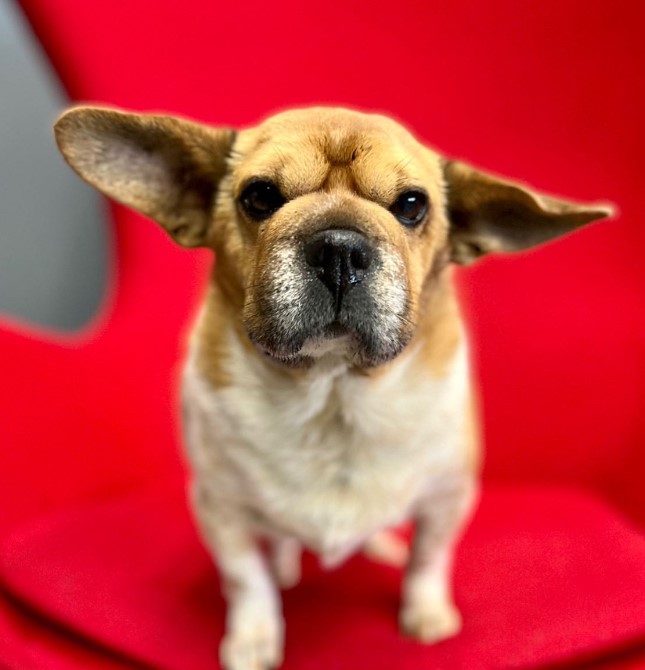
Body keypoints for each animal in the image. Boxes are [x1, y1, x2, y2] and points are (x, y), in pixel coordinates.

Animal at [54, 106, 608, 670]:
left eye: (413, 205)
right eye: (259, 196)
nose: (339, 249)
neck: (332, 394)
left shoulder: (447, 498)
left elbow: (429, 560)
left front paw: (425, 614)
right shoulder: (220, 510)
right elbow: (246, 580)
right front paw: (254, 638)